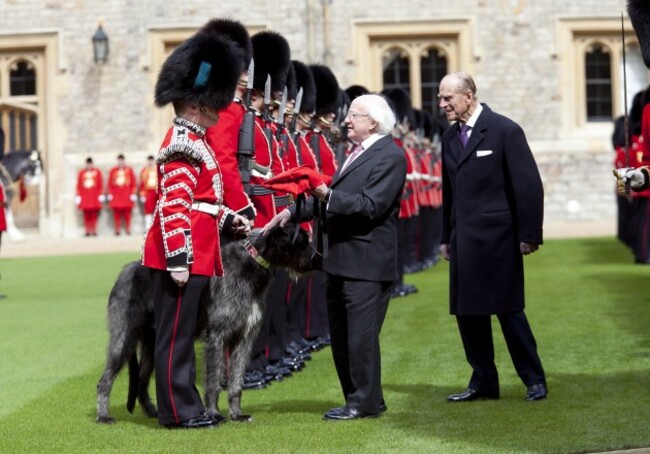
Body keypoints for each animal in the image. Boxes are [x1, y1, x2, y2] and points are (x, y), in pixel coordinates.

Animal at [93, 225, 312, 424]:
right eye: (303, 242)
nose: (316, 258)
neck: (250, 262)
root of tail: (125, 272)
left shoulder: (244, 338)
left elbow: (236, 381)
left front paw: (237, 414)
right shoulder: (217, 336)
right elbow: (214, 380)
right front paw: (214, 413)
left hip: (152, 343)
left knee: (141, 380)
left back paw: (153, 412)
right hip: (123, 337)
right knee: (105, 381)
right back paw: (103, 416)